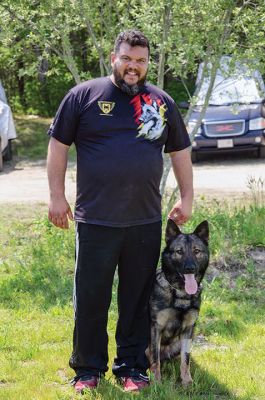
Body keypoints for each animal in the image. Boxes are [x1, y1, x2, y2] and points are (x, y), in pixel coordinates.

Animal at [147, 220, 207, 386]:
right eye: (179, 251)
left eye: (196, 251)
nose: (190, 268)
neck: (180, 293)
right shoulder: (157, 327)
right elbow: (155, 358)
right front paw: (156, 382)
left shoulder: (188, 329)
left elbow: (185, 359)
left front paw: (187, 382)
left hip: (178, 344)